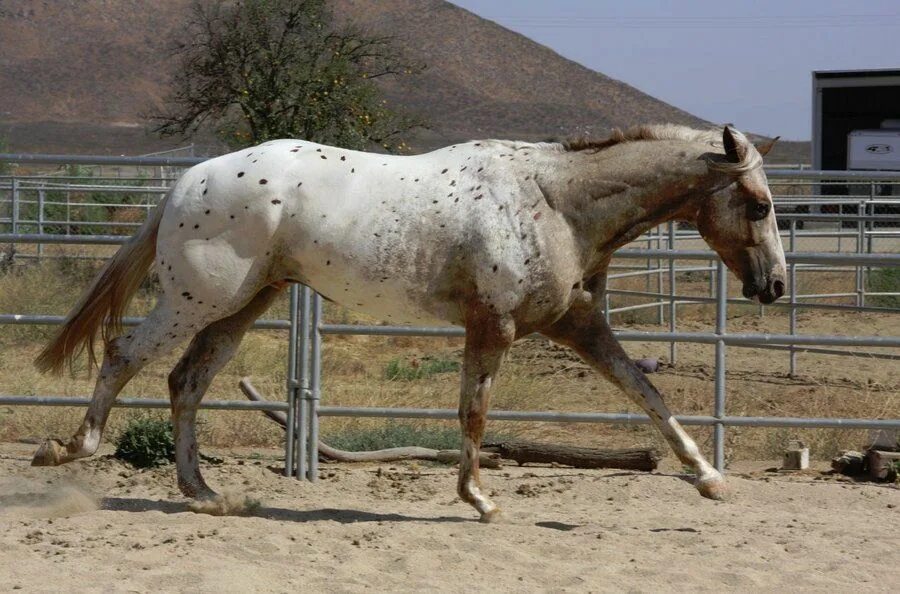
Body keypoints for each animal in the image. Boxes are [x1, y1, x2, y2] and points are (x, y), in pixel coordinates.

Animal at [31, 123, 784, 520]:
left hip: (244, 306)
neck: (554, 203)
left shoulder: (575, 324)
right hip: (197, 299)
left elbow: (645, 392)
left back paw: (205, 493)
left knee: (185, 382)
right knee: (124, 356)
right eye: (757, 203)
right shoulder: (493, 327)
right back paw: (66, 449)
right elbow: (474, 411)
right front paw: (479, 499)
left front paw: (709, 477)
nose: (774, 286)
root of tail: (187, 182)